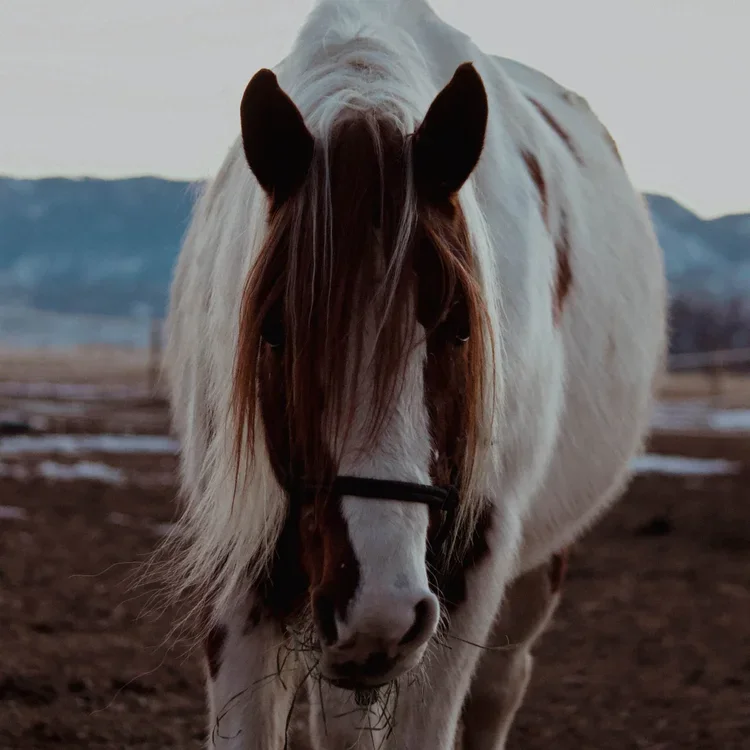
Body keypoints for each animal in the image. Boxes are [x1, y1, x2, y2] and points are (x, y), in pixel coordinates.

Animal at [163, 0, 667, 747]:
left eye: (461, 325)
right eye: (274, 331)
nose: (383, 608)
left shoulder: (472, 565)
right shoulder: (243, 575)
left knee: (500, 685)